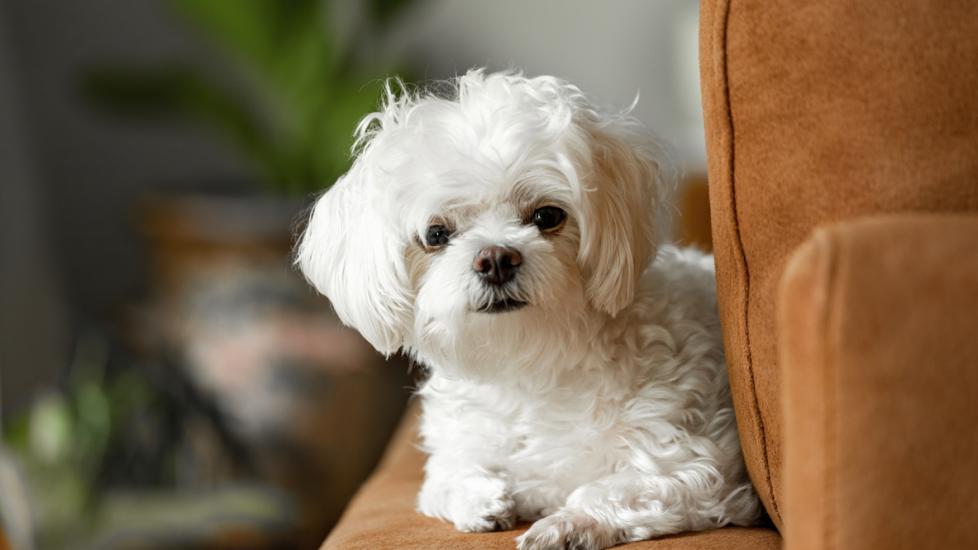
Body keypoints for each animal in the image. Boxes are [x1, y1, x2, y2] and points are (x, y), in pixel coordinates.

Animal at [294, 70, 760, 550]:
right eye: (437, 234)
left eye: (547, 216)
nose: (496, 258)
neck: (530, 364)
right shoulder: (454, 451)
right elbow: (445, 480)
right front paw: (480, 499)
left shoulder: (693, 468)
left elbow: (611, 489)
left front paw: (567, 524)